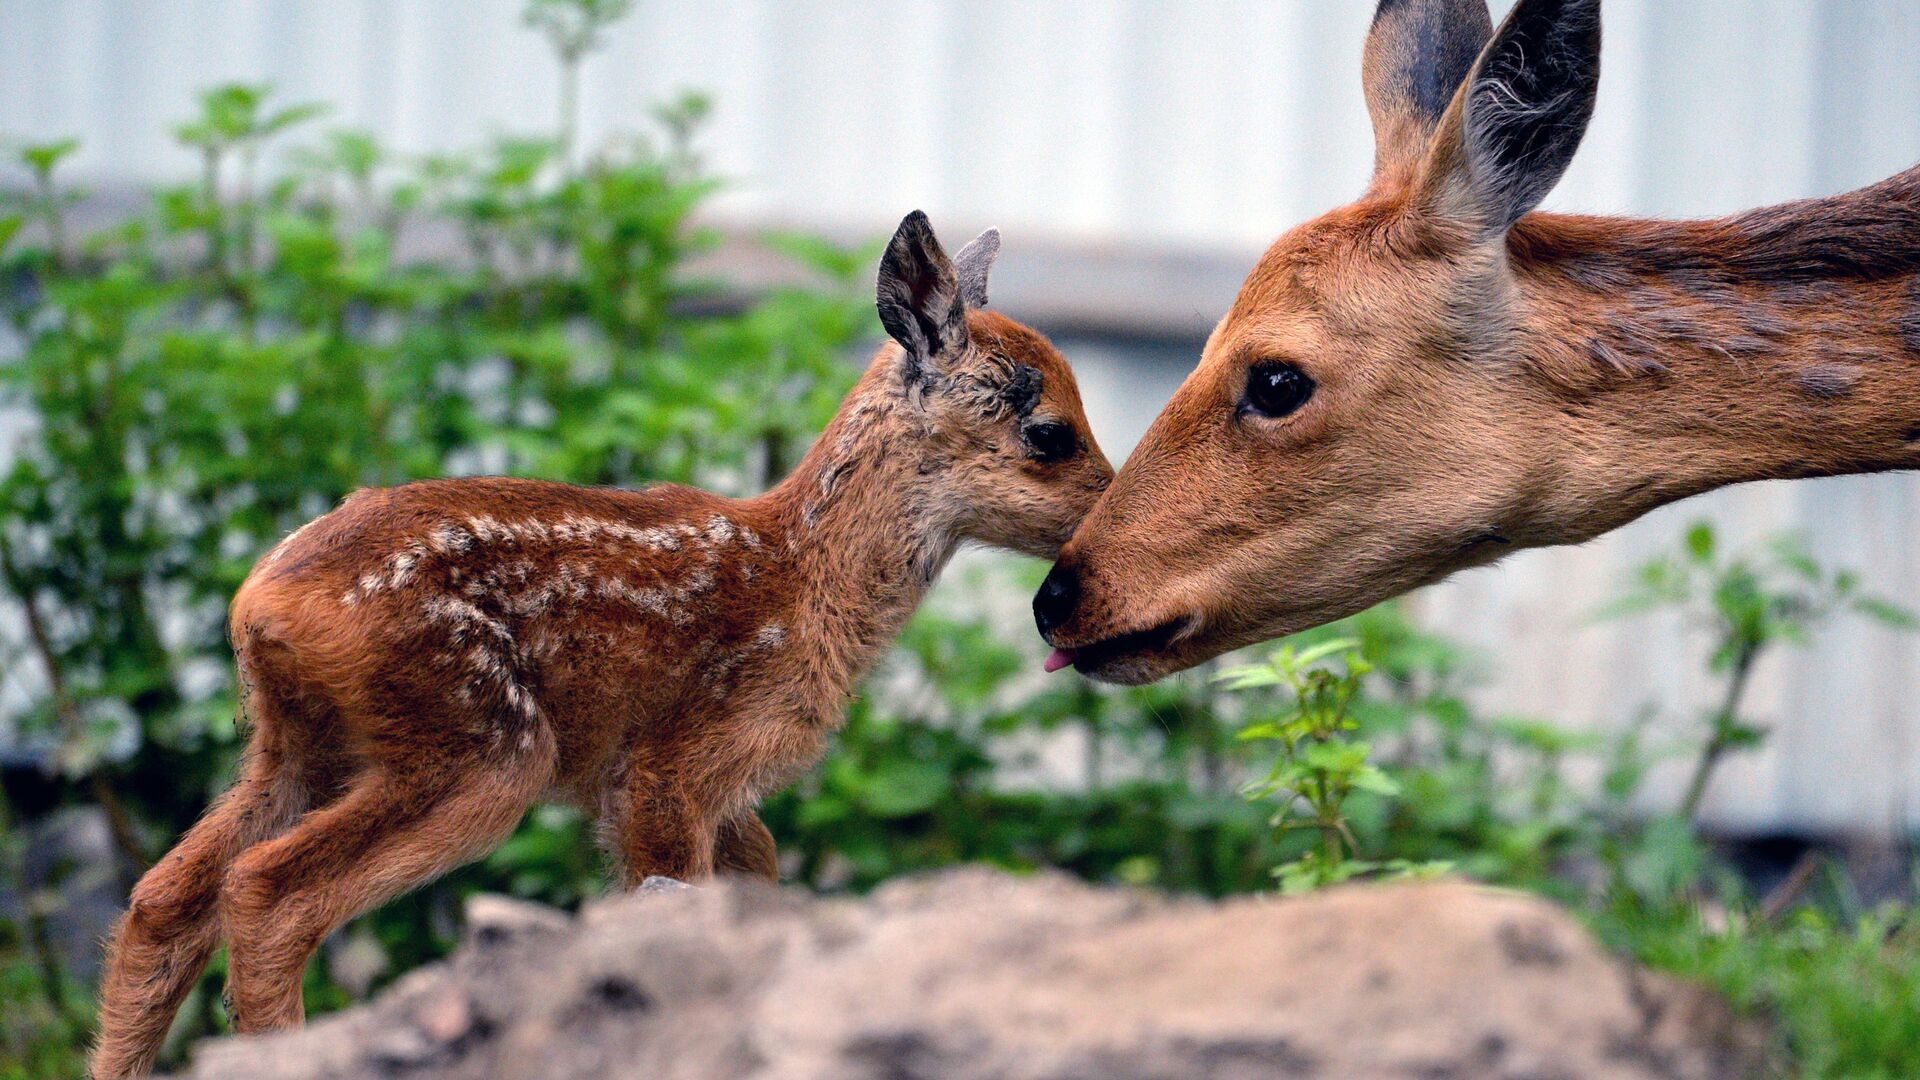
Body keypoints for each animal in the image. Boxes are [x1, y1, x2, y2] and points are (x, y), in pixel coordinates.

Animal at [90, 212, 1113, 1076]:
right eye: (1049, 432)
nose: (1108, 511)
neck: (805, 582)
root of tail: (261, 603)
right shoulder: (669, 766)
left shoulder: (716, 795)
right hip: (477, 741)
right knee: (266, 893)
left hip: (298, 743)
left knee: (161, 901)